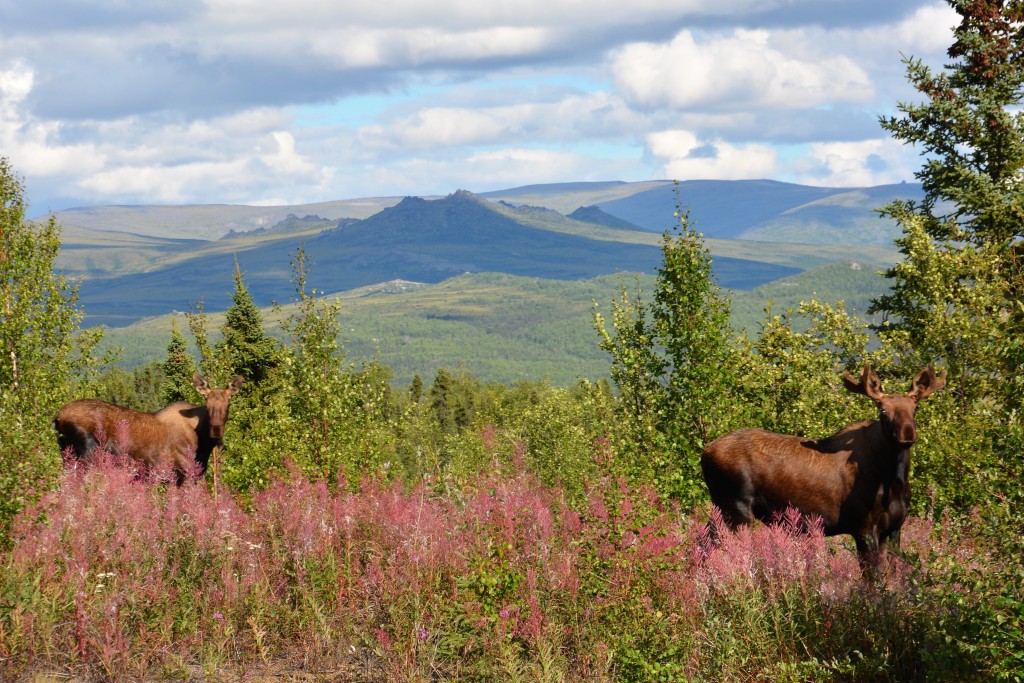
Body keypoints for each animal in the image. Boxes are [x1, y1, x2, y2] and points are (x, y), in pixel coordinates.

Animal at [54, 374, 243, 485]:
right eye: (207, 403)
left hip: (67, 456)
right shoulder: (184, 475)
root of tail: (57, 417)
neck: (204, 444)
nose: (216, 432)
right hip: (86, 458)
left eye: (228, 403)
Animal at [700, 366, 946, 569]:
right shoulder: (863, 527)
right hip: (735, 509)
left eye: (915, 408)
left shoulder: (894, 528)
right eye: (883, 411)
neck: (893, 481)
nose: (907, 434)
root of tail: (705, 452)